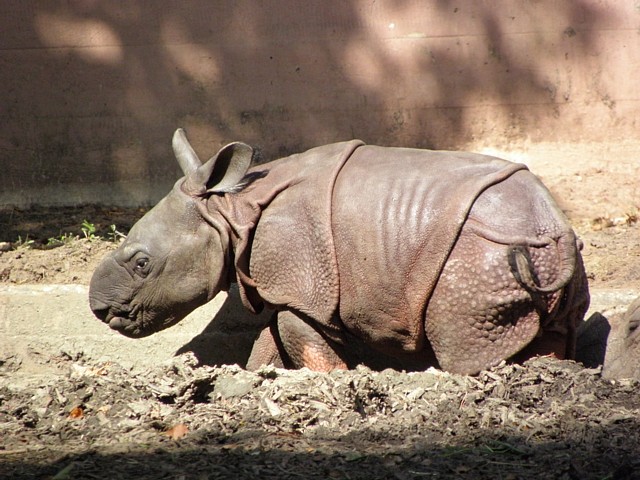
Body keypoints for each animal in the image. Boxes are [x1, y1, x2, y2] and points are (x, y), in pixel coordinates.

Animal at [89, 129, 590, 375]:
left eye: (142, 264)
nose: (100, 310)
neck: (228, 209)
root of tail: (552, 224)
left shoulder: (305, 285)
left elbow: (295, 334)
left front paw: (341, 381)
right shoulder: (290, 285)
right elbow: (269, 341)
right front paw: (255, 380)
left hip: (477, 256)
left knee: (463, 340)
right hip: (535, 252)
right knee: (548, 331)